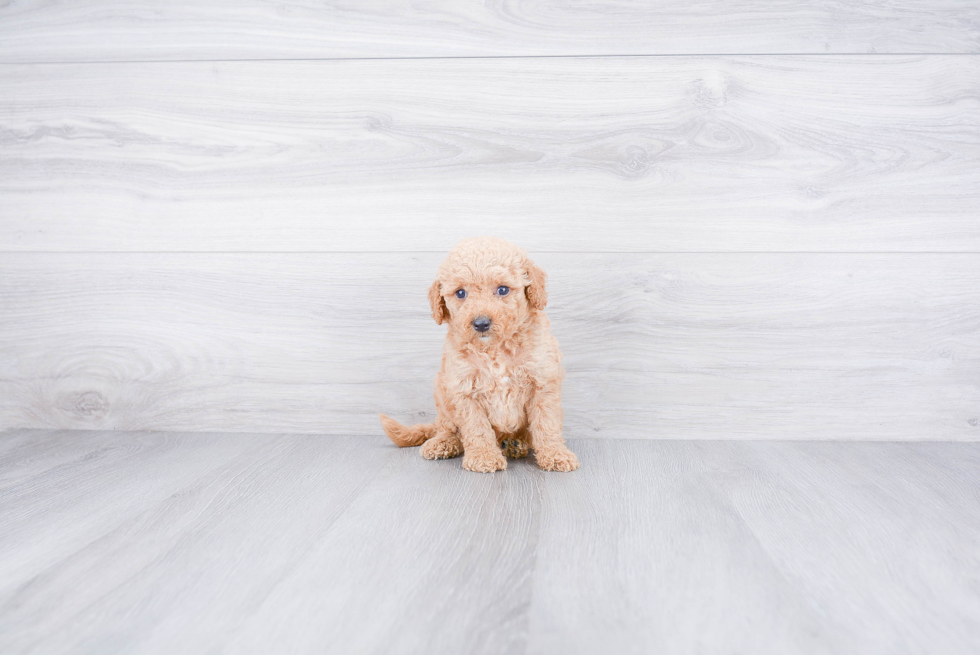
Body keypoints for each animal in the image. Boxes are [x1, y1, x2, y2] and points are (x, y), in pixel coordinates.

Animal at [378, 238, 580, 474]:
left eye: (503, 289)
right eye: (460, 293)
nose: (481, 323)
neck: (494, 349)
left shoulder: (543, 381)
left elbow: (546, 423)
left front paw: (555, 454)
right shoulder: (463, 388)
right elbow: (476, 427)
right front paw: (484, 457)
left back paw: (516, 443)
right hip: (442, 391)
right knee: (447, 426)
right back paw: (444, 442)